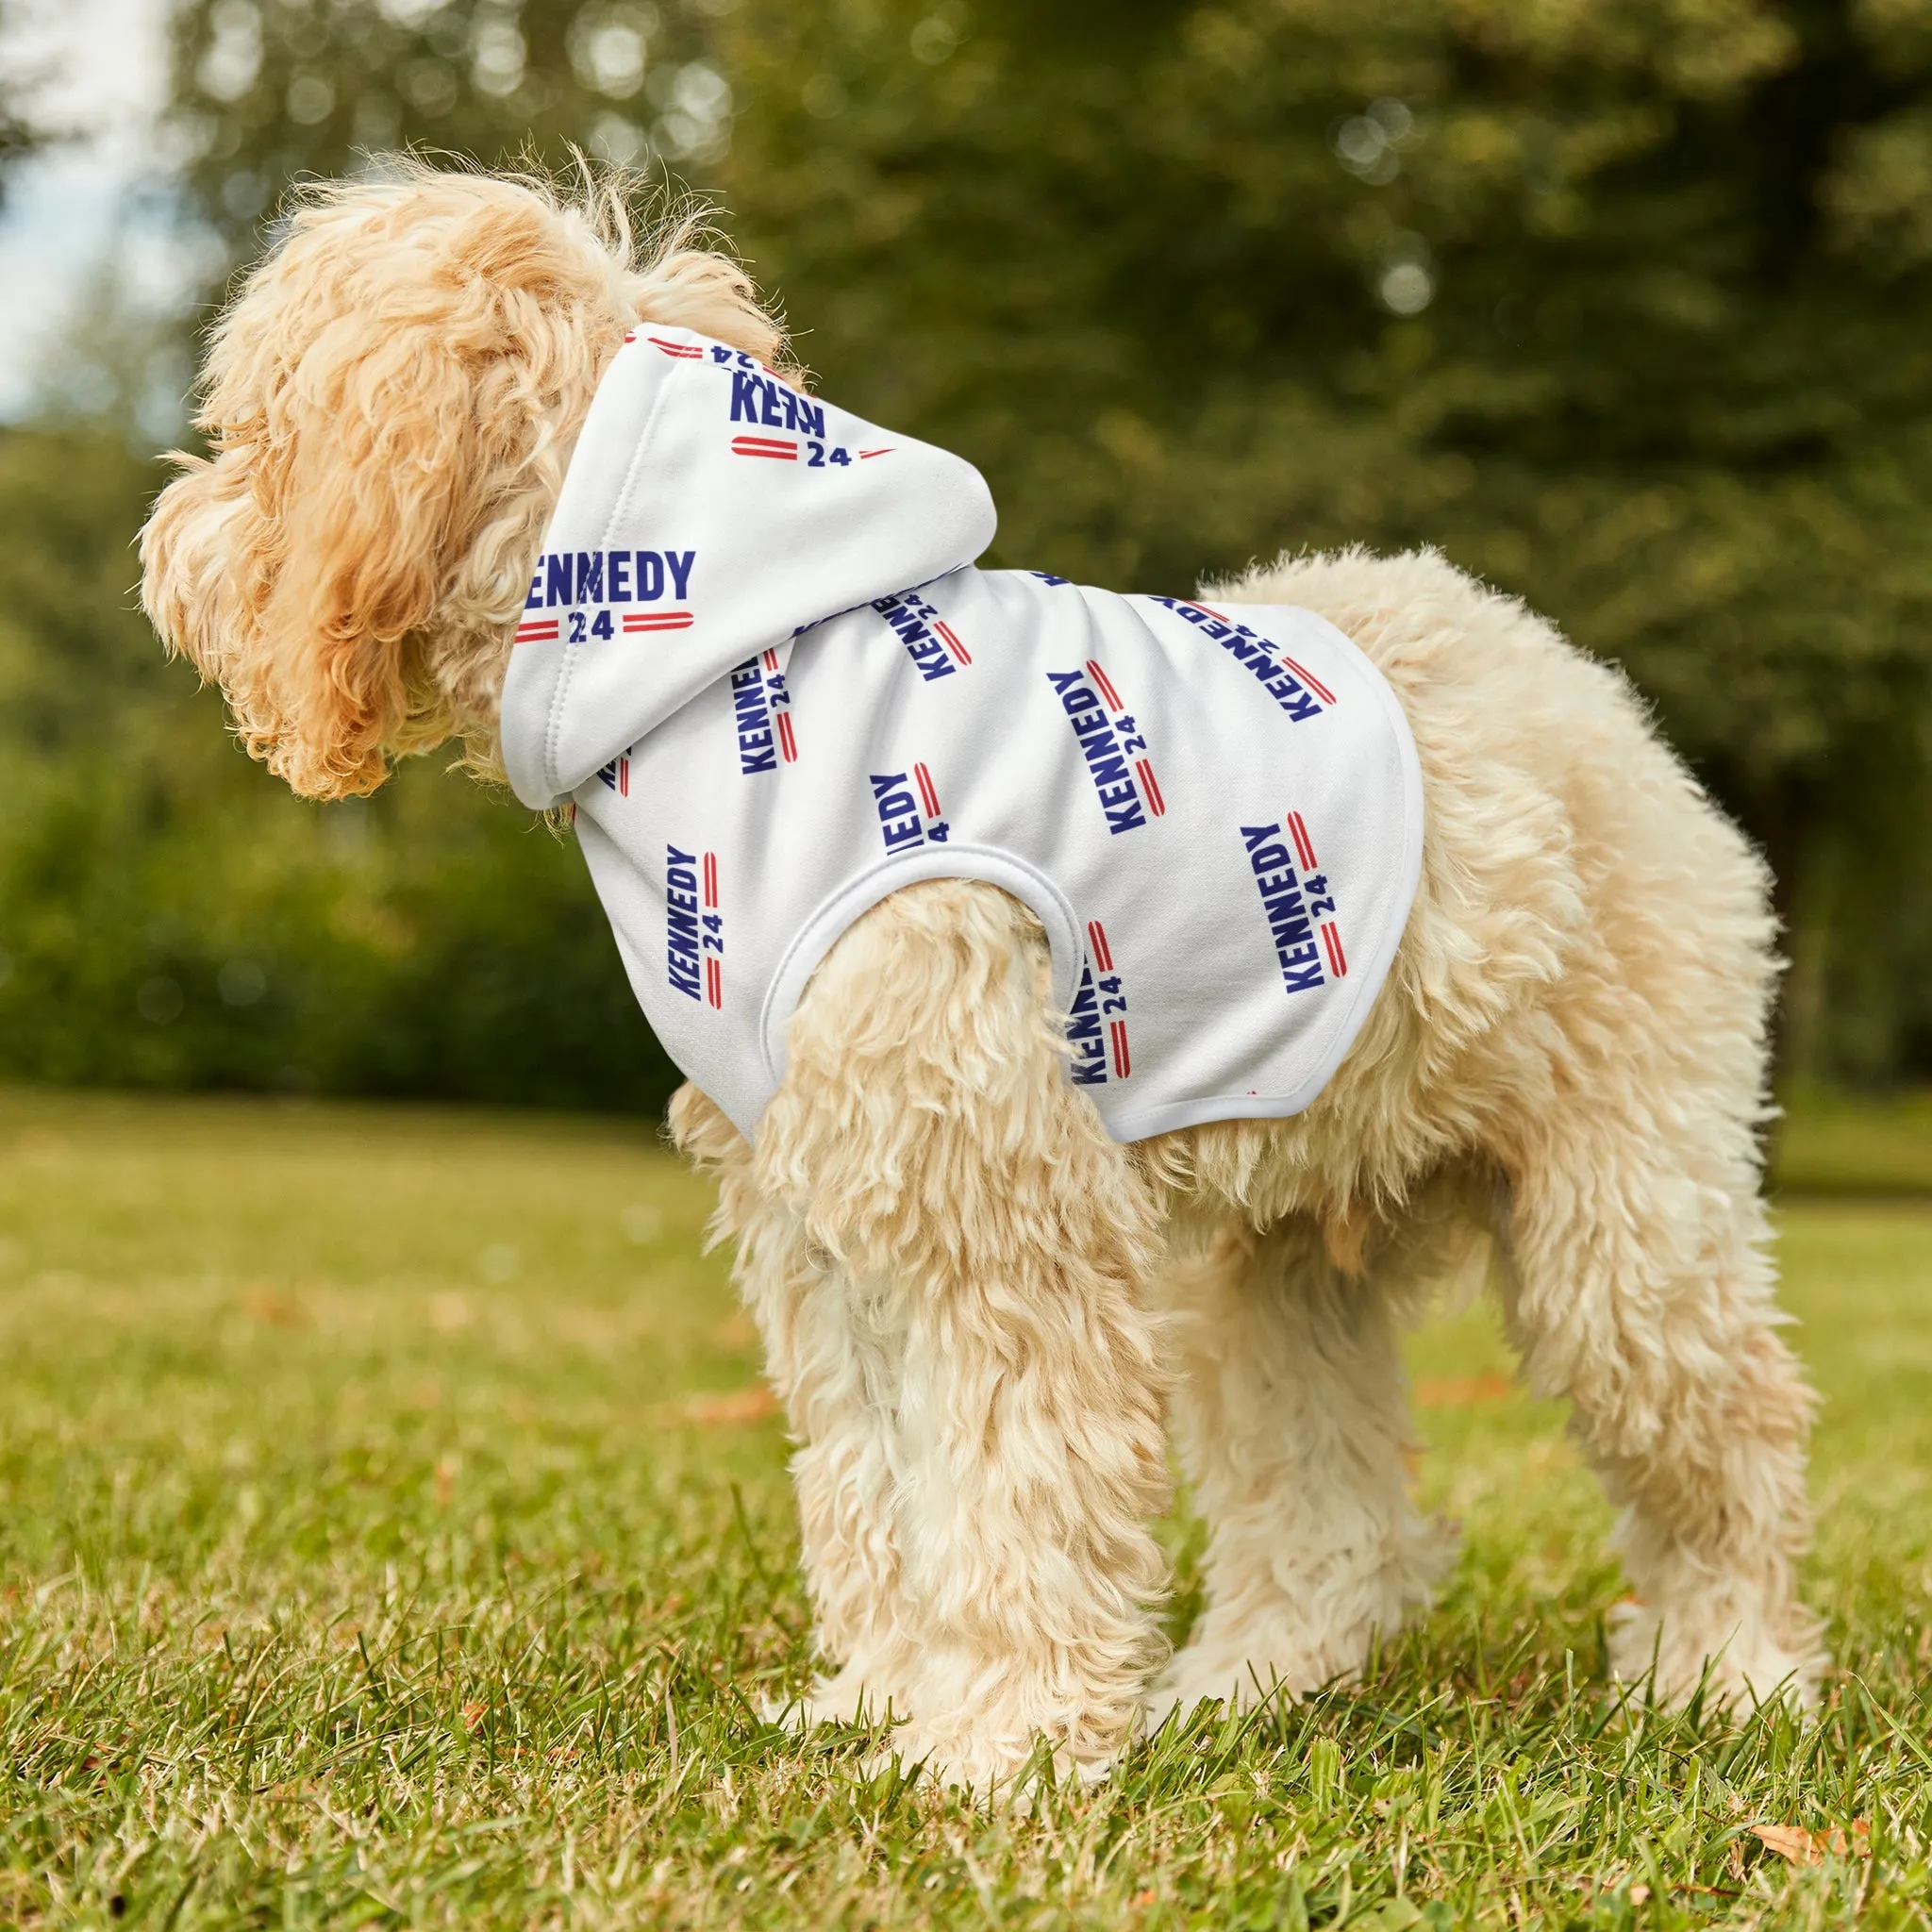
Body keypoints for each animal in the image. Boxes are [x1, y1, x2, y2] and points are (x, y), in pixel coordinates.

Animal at [142, 166, 1816, 1792]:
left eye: (255, 430)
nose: (165, 544)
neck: (711, 651)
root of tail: (1583, 691)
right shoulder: (825, 1219)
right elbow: (878, 1487)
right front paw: (884, 1704)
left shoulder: (995, 1211)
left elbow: (1017, 1487)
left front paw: (999, 1747)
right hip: (1272, 1269)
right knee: (1334, 1516)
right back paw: (1245, 1687)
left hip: (1622, 1221)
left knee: (1729, 1435)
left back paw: (1729, 1676)